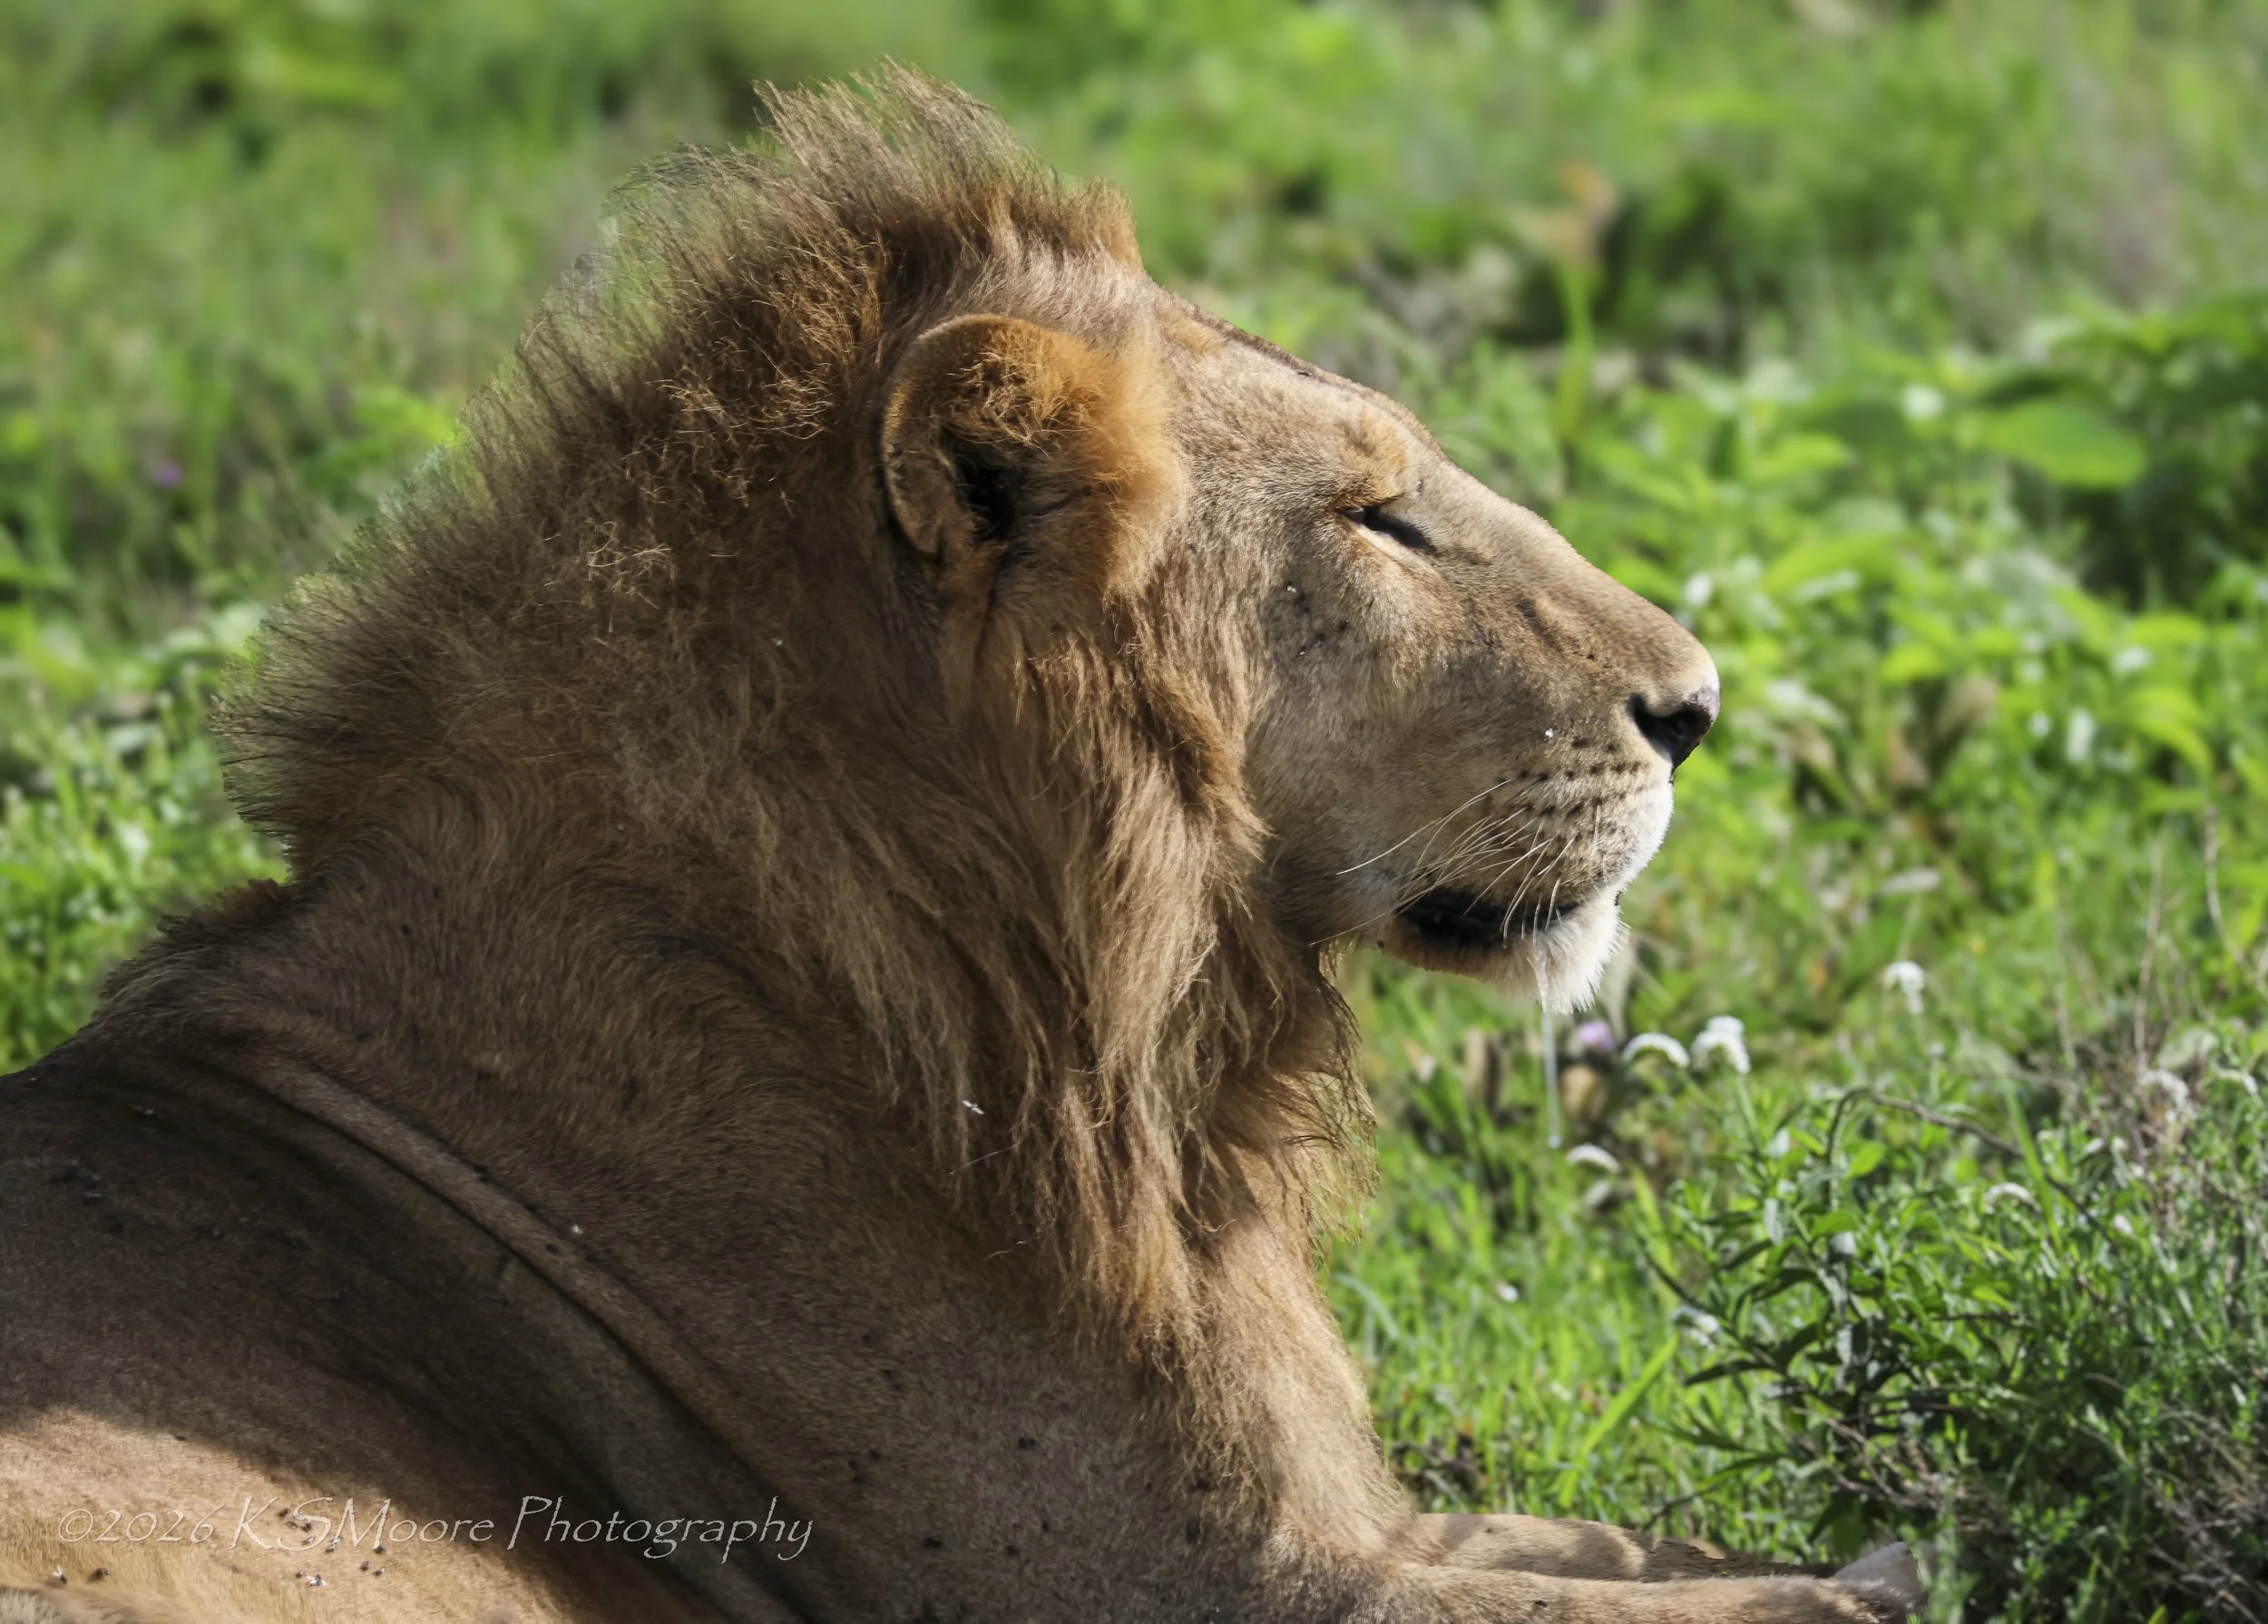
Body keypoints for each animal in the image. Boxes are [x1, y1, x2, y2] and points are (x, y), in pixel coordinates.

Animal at [0, 71, 1920, 1624]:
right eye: (1377, 518)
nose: (1699, 704)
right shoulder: (1201, 1587)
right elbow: (1790, 1603)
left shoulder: (1356, 1526)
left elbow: (1671, 1548)